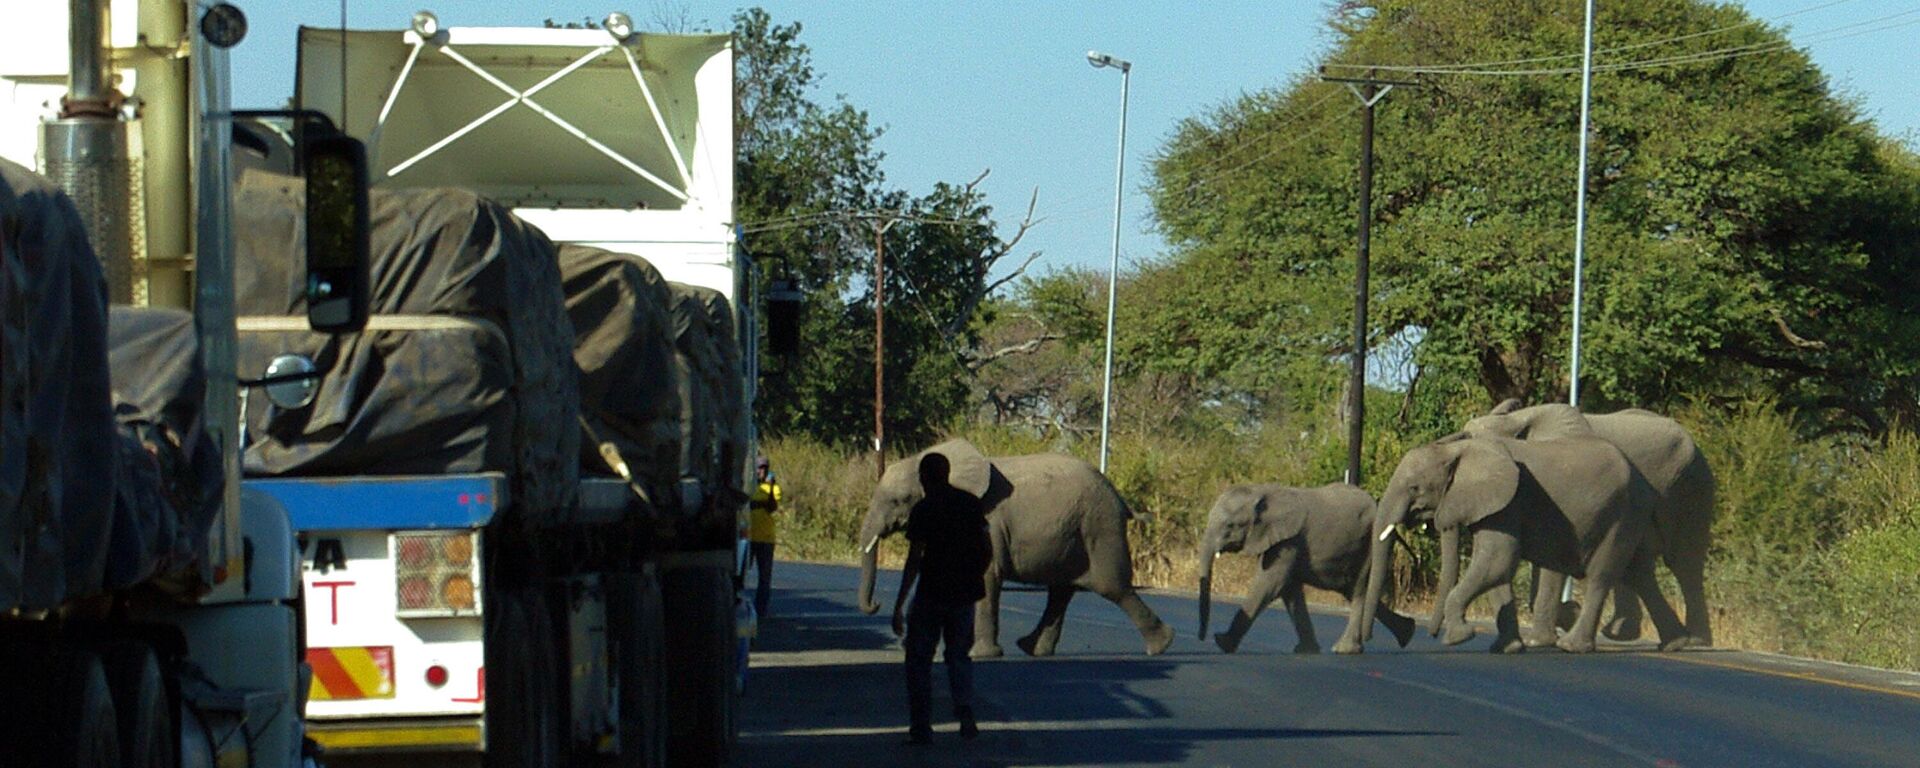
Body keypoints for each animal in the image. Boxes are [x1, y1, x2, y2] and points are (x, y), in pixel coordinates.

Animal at [856, 441, 1167, 656]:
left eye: (899, 500)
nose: (879, 608)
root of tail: (1120, 498)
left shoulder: (986, 522)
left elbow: (985, 575)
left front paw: (980, 655)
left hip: (1099, 528)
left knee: (1111, 586)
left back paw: (1160, 646)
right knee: (1061, 591)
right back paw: (1033, 649)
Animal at [1190, 483, 1420, 652]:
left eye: (1230, 526)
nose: (1202, 638)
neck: (1261, 491)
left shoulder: (1289, 540)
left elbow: (1270, 583)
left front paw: (1222, 642)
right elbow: (1289, 589)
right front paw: (1306, 650)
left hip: (1370, 543)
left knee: (1359, 589)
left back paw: (1345, 649)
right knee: (1352, 589)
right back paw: (1407, 634)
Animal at [1328, 435, 1689, 652]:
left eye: (1415, 488)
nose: (1427, 634)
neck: (1456, 449)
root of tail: (1642, 479)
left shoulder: (1509, 501)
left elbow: (1497, 561)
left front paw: (1459, 638)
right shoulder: (1494, 507)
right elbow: (1498, 573)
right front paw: (1507, 649)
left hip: (1621, 513)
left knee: (1604, 574)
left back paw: (1572, 646)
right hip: (1631, 514)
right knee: (1639, 574)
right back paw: (1674, 644)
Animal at [1459, 399, 1720, 645]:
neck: (1516, 419)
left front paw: (1544, 637)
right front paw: (1568, 618)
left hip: (1690, 487)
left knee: (1683, 562)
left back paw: (1696, 641)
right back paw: (1619, 634)